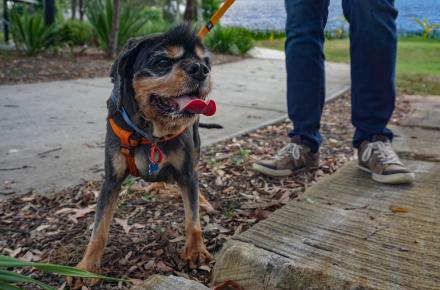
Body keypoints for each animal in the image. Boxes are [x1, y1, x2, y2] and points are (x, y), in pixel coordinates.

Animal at [68, 24, 217, 288]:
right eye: (162, 62)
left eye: (203, 61)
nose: (201, 70)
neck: (149, 132)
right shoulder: (111, 180)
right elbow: (99, 229)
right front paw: (86, 268)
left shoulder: (188, 172)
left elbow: (193, 220)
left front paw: (196, 250)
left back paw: (202, 201)